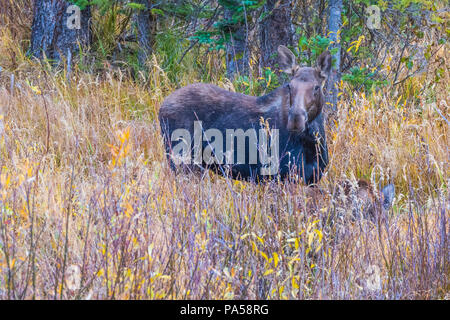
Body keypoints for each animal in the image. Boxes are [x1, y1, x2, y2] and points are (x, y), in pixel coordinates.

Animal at [159, 45, 330, 185]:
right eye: (289, 86)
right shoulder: (278, 174)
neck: (311, 139)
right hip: (181, 159)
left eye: (316, 87)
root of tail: (161, 107)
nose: (295, 119)